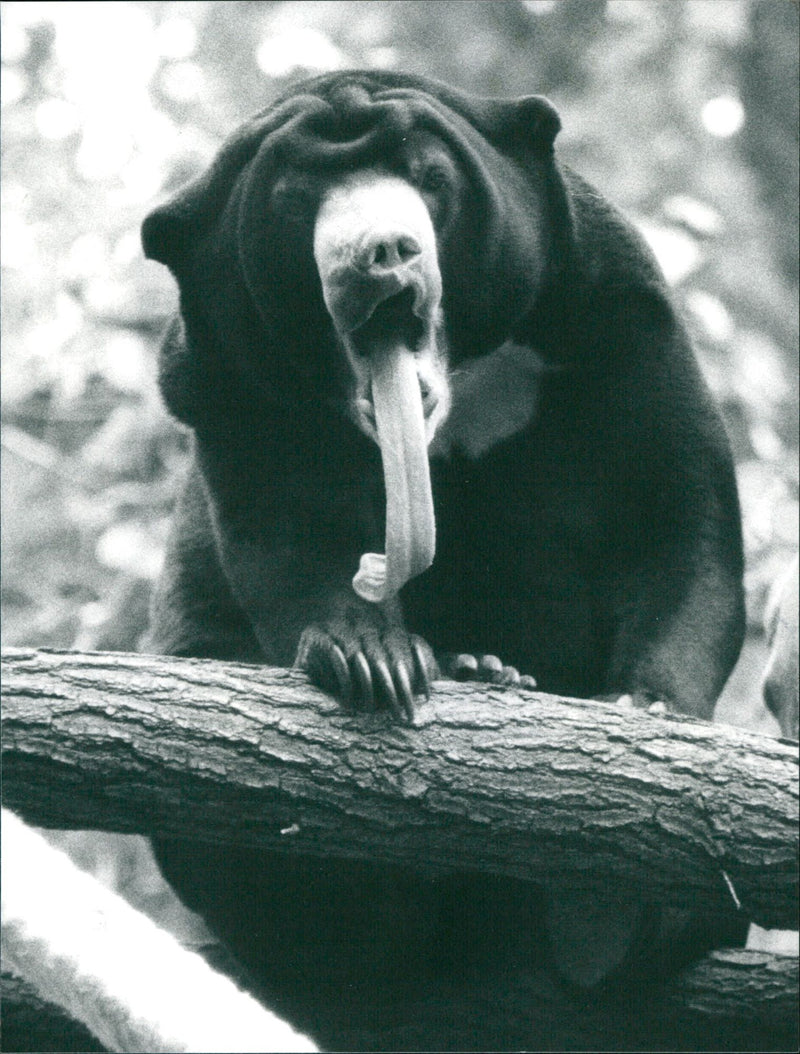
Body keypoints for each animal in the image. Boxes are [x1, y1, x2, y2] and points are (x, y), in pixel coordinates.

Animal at [141, 70, 746, 1042]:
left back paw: (597, 913)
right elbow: (281, 533)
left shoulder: (615, 313)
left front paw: (645, 710)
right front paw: (373, 662)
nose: (381, 256)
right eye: (297, 202)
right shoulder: (230, 386)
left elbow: (674, 518)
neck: (459, 390)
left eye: (431, 180)